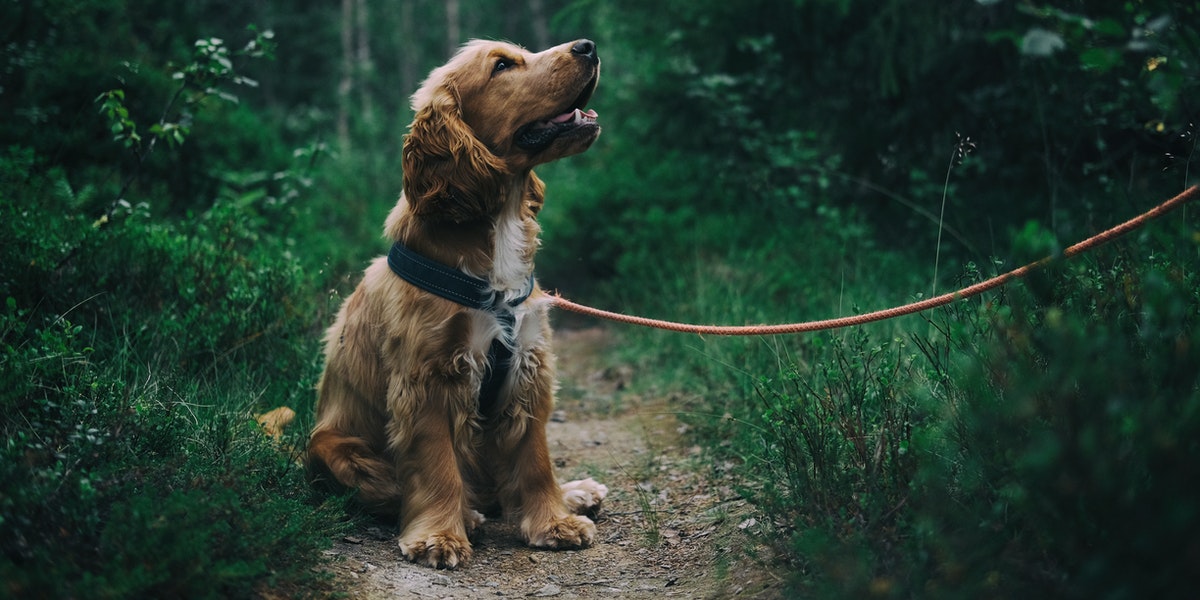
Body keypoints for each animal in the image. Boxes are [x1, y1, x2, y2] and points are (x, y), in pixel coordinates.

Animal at [307, 39, 609, 568]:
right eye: (502, 65)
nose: (588, 46)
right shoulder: (428, 377)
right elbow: (436, 464)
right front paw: (440, 536)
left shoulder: (528, 365)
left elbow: (535, 458)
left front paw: (554, 521)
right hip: (331, 446)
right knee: (398, 488)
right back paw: (467, 514)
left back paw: (574, 492)